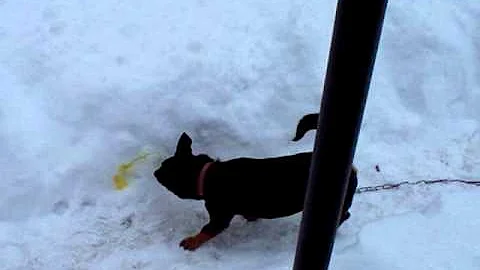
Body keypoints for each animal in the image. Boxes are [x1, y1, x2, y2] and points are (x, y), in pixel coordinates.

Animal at [153, 113, 356, 249]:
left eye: (165, 172)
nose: (155, 172)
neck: (208, 174)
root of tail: (350, 167)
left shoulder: (220, 216)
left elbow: (206, 230)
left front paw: (192, 241)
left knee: (345, 215)